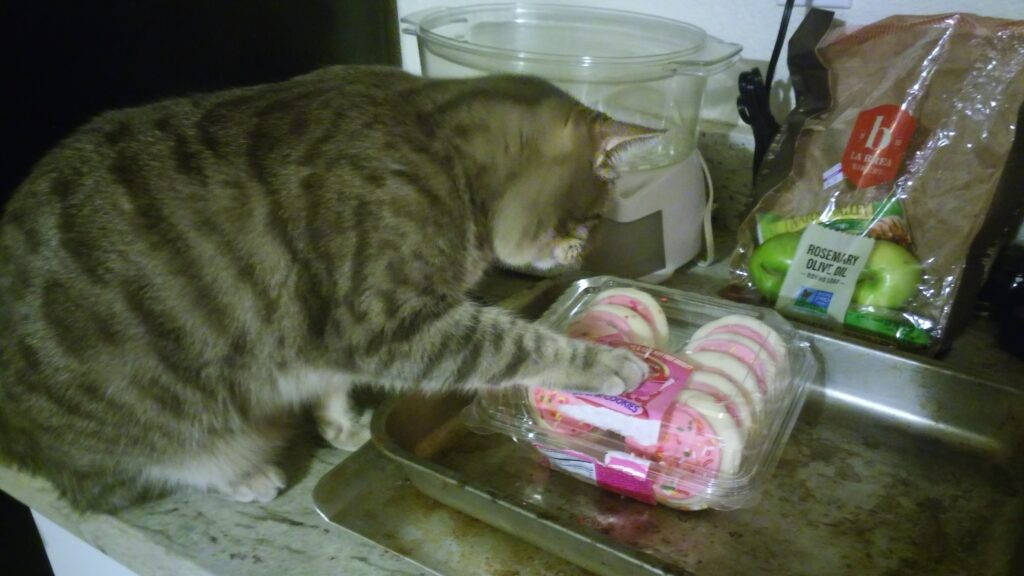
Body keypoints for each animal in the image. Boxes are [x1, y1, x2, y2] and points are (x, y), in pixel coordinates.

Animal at [0, 65, 655, 508]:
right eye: (594, 218)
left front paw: (343, 426)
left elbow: (330, 387)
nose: (588, 252)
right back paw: (244, 475)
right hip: (156, 423)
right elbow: (516, 345)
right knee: (170, 464)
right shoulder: (382, 321)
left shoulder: (324, 341)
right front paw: (608, 362)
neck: (443, 143)